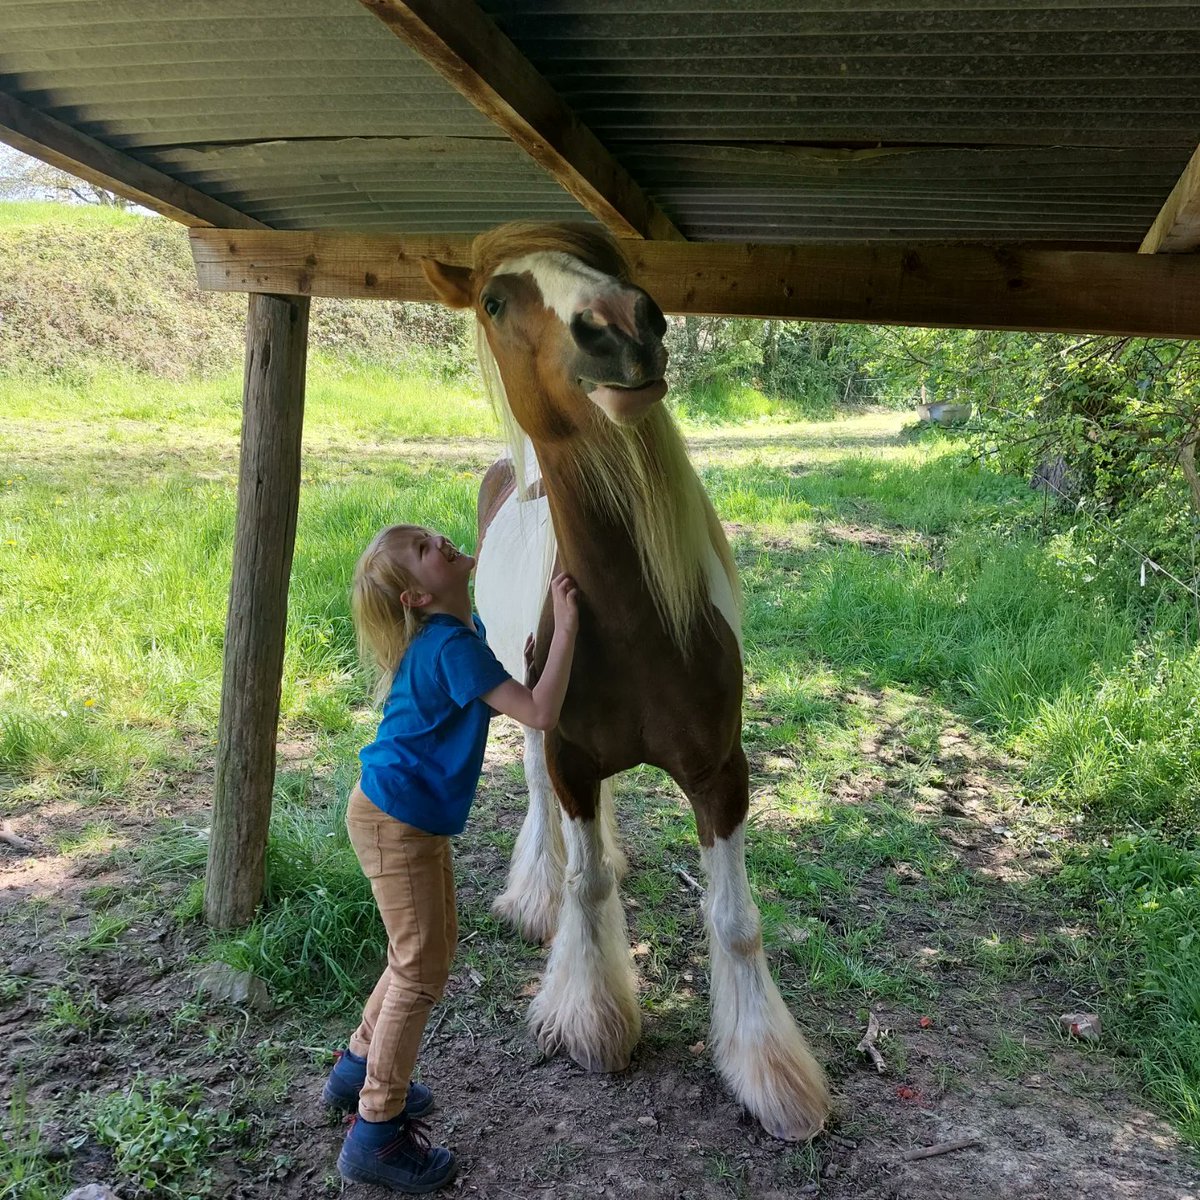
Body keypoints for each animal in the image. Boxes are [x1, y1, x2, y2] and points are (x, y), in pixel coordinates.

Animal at [421, 223, 830, 1142]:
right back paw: (534, 895)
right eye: (493, 300)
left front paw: (770, 1070)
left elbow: (735, 918)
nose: (622, 324)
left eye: (614, 264)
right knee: (540, 796)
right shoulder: (572, 755)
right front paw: (592, 1018)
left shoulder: (721, 772)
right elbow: (587, 881)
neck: (634, 622)